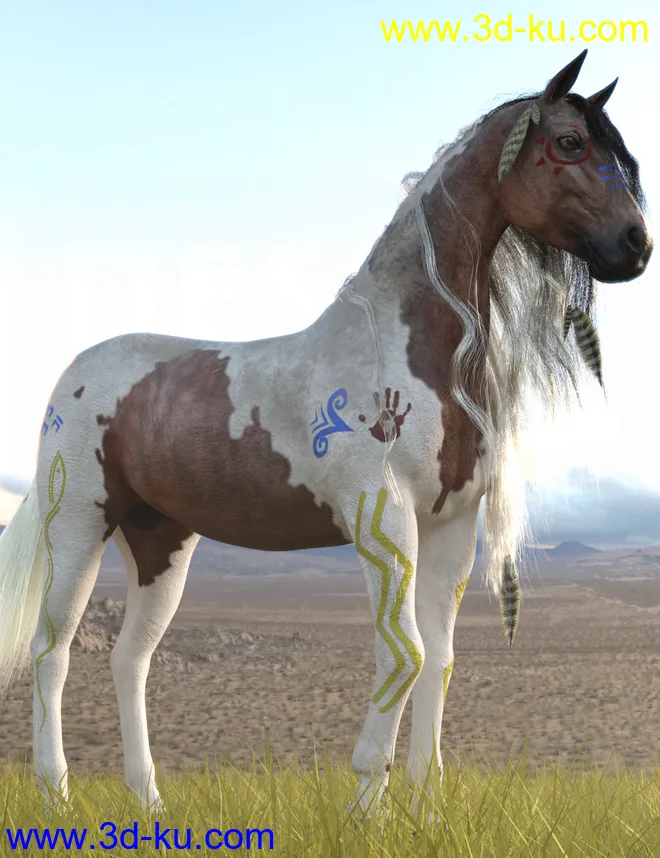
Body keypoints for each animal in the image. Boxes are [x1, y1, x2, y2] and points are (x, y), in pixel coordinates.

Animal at [0, 49, 652, 816]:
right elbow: (404, 651)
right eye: (570, 142)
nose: (636, 245)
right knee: (52, 650)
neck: (412, 349)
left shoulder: (451, 525)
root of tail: (73, 374)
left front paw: (425, 807)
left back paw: (150, 803)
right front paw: (368, 805)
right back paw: (57, 800)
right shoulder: (381, 518)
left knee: (131, 658)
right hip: (76, 521)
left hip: (160, 539)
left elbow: (441, 657)